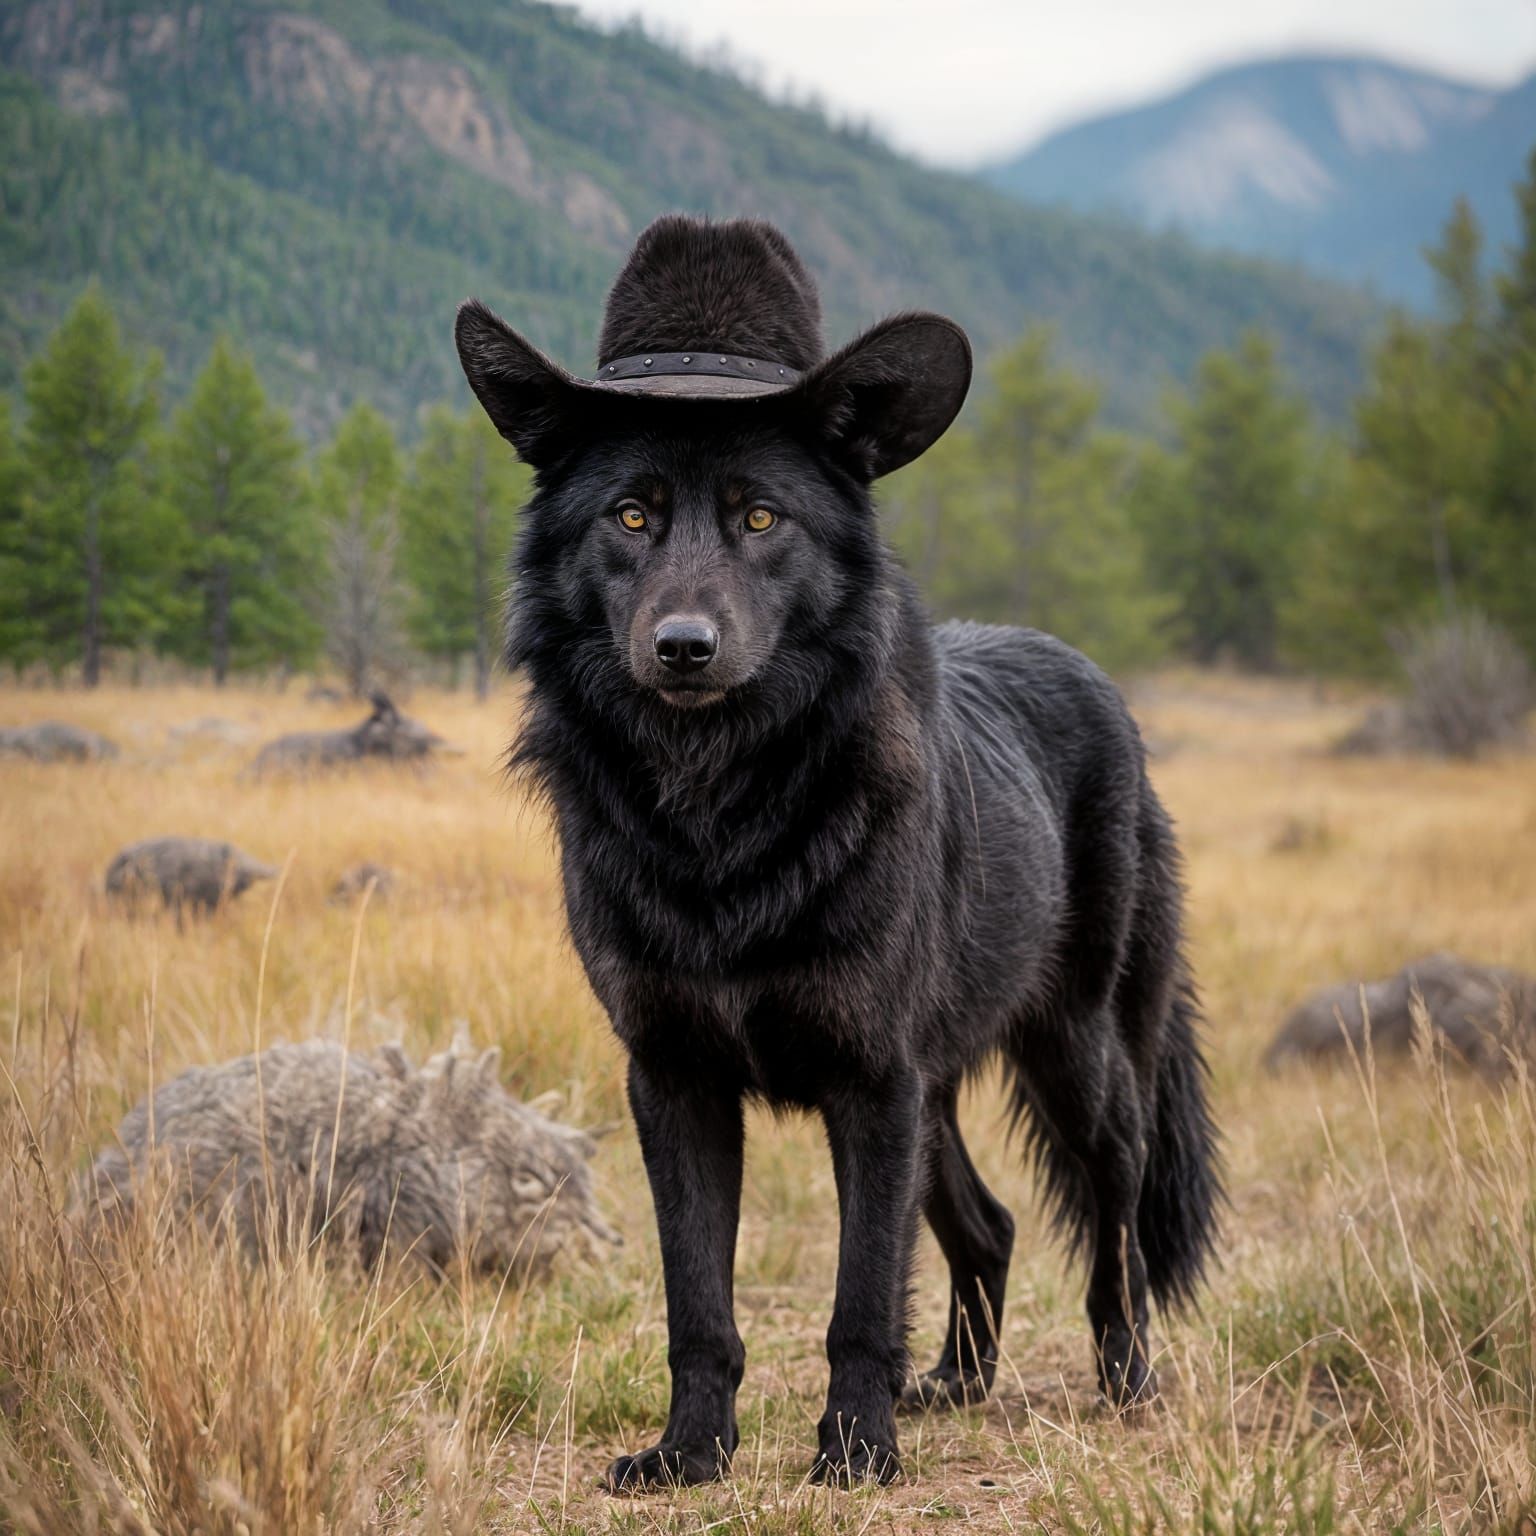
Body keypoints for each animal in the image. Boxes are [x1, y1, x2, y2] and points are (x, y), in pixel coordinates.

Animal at [456, 214, 1219, 1489]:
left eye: (762, 519)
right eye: (631, 517)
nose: (683, 647)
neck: (716, 814)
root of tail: (1093, 677)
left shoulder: (870, 1083)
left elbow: (860, 1298)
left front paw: (857, 1454)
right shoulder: (677, 1079)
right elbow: (698, 1302)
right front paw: (690, 1454)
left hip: (1076, 1062)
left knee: (1113, 1218)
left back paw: (1125, 1380)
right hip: (940, 1094)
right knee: (990, 1225)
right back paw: (955, 1385)